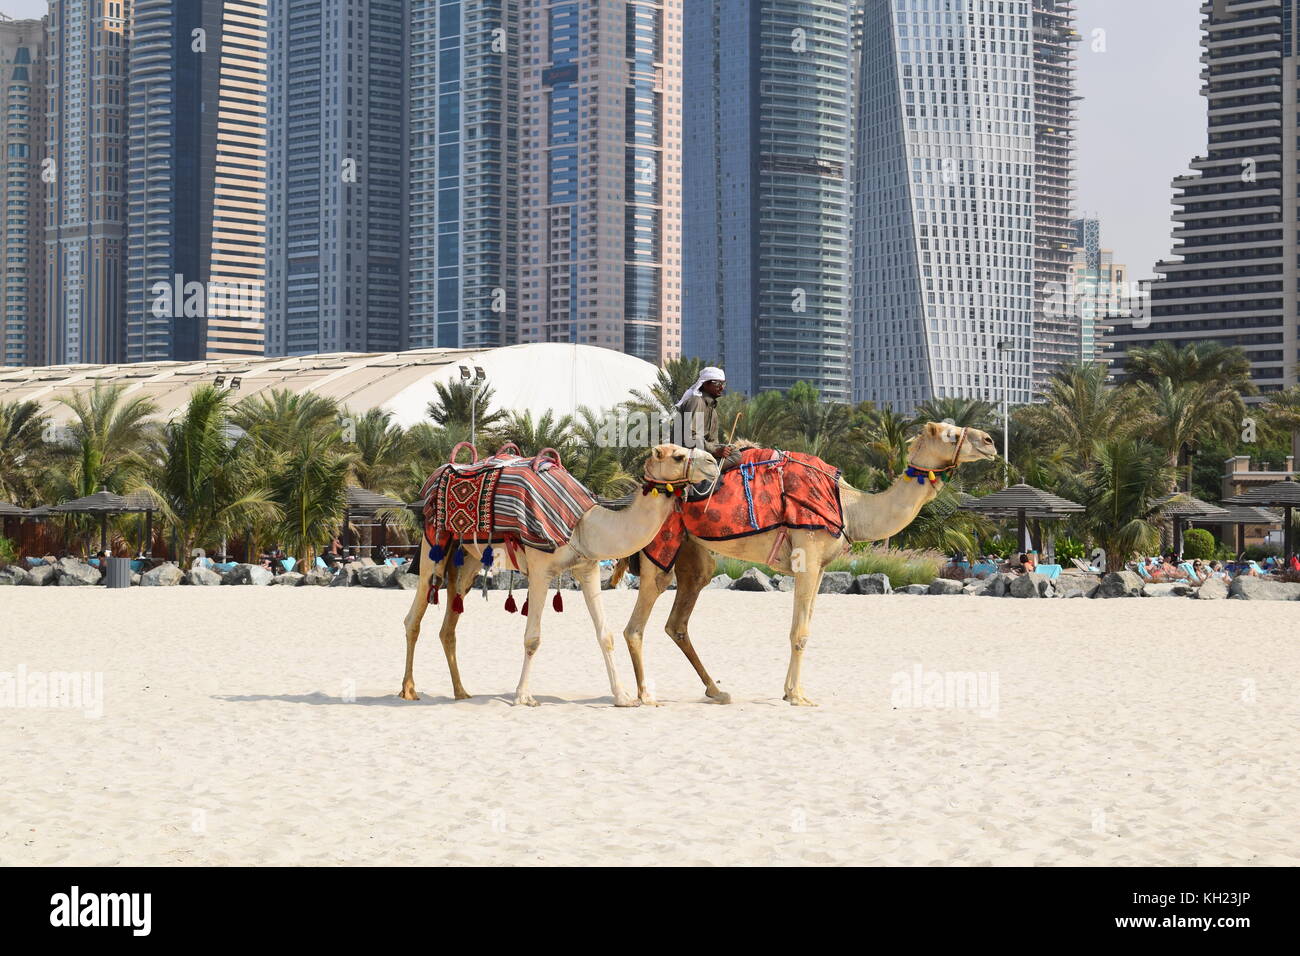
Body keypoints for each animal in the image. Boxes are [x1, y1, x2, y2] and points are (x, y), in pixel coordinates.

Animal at [397, 444, 722, 707]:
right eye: (677, 455)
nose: (712, 462)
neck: (583, 524)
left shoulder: (588, 567)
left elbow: (605, 635)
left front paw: (623, 697)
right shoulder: (540, 569)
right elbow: (533, 638)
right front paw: (523, 697)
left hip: (468, 560)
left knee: (448, 626)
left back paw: (461, 691)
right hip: (433, 544)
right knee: (414, 616)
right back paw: (409, 690)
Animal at [613, 421, 998, 707]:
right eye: (950, 435)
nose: (991, 441)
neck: (849, 505)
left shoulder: (823, 566)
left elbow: (806, 627)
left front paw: (790, 691)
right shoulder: (807, 557)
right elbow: (799, 631)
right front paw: (798, 696)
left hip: (692, 554)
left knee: (678, 621)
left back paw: (717, 690)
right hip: (659, 549)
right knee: (636, 625)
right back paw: (644, 696)